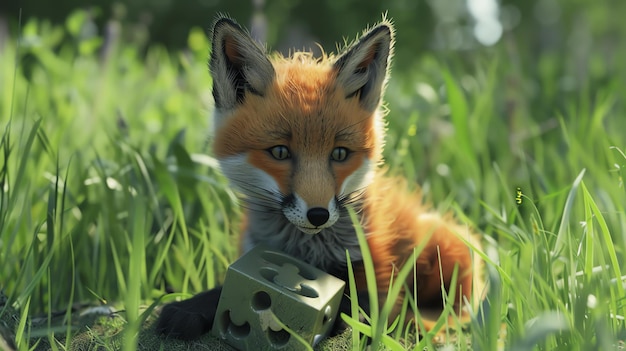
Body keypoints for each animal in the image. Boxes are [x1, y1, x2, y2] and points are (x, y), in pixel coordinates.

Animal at [155, 15, 482, 340]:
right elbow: (224, 287)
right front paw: (191, 306)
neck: (308, 251)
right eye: (279, 152)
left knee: (450, 313)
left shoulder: (376, 275)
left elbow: (354, 306)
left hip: (448, 251)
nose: (318, 215)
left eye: (339, 153)